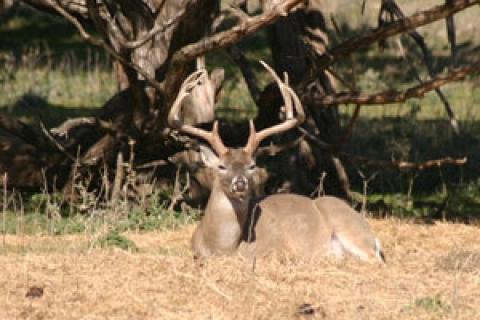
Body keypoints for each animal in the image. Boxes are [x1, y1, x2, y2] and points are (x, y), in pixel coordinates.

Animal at [169, 60, 386, 262]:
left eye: (252, 165)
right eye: (222, 166)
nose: (240, 183)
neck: (222, 246)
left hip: (347, 223)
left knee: (373, 259)